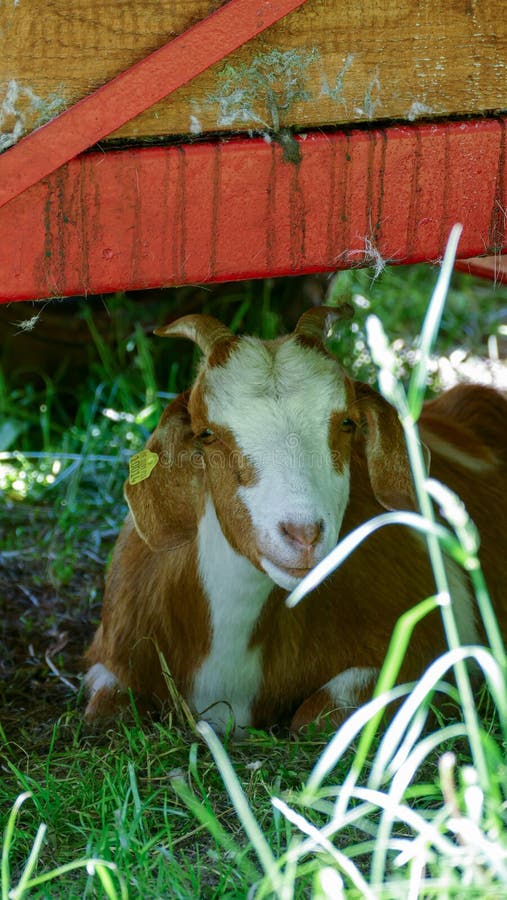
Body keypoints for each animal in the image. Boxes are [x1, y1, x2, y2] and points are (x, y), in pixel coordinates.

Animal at [84, 308, 507, 732]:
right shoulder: (109, 657)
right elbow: (104, 713)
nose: (304, 535)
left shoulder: (427, 654)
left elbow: (314, 717)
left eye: (348, 422)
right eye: (206, 433)